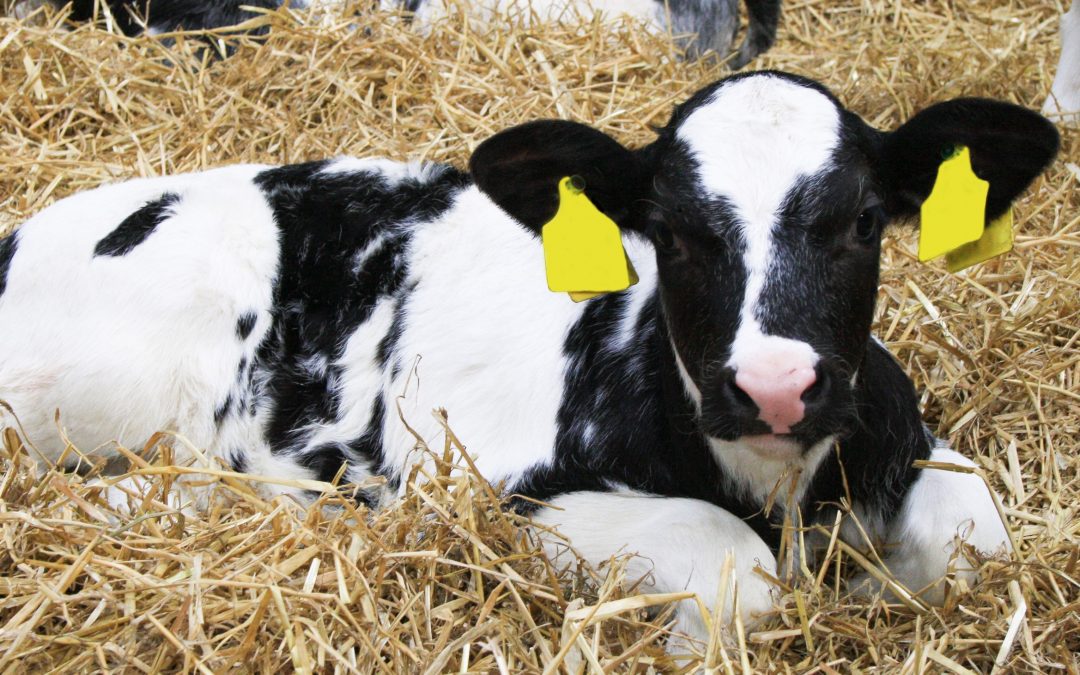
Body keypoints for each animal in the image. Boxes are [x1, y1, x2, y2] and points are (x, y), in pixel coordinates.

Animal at [0, 71, 1058, 643]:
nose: (775, 386)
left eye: (866, 221)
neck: (778, 484)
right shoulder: (512, 497)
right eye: (671, 233)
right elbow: (734, 563)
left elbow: (977, 541)